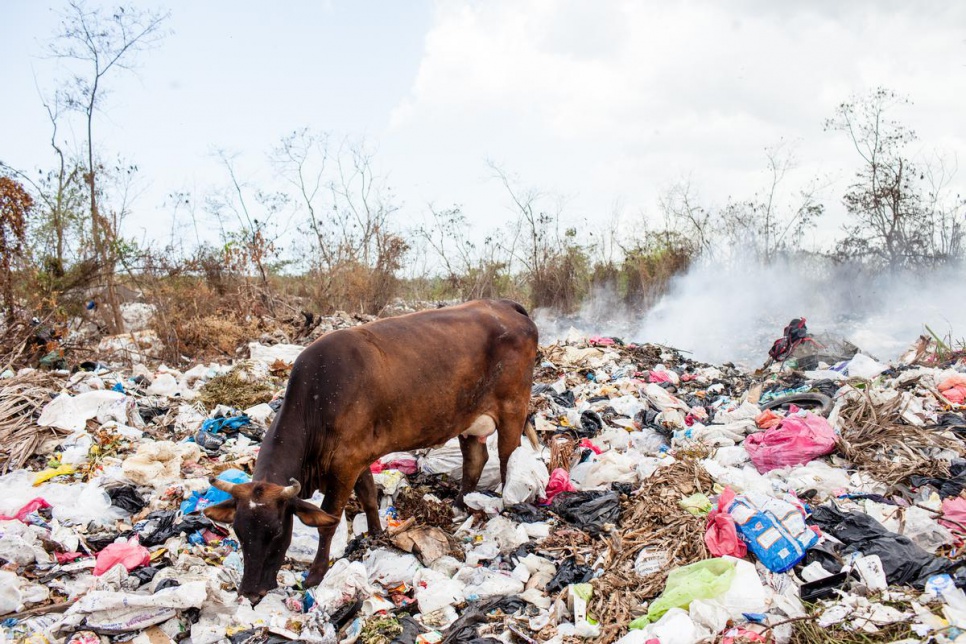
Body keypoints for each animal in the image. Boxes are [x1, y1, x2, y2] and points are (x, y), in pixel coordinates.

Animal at [203, 300, 540, 600]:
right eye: (238, 532)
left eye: (275, 531)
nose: (250, 592)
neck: (317, 400)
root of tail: (505, 305)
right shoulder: (356, 460)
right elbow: (368, 497)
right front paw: (377, 534)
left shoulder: (344, 465)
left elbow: (329, 521)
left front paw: (315, 574)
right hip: (467, 419)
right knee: (475, 460)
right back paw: (459, 505)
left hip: (513, 408)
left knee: (508, 458)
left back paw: (503, 506)